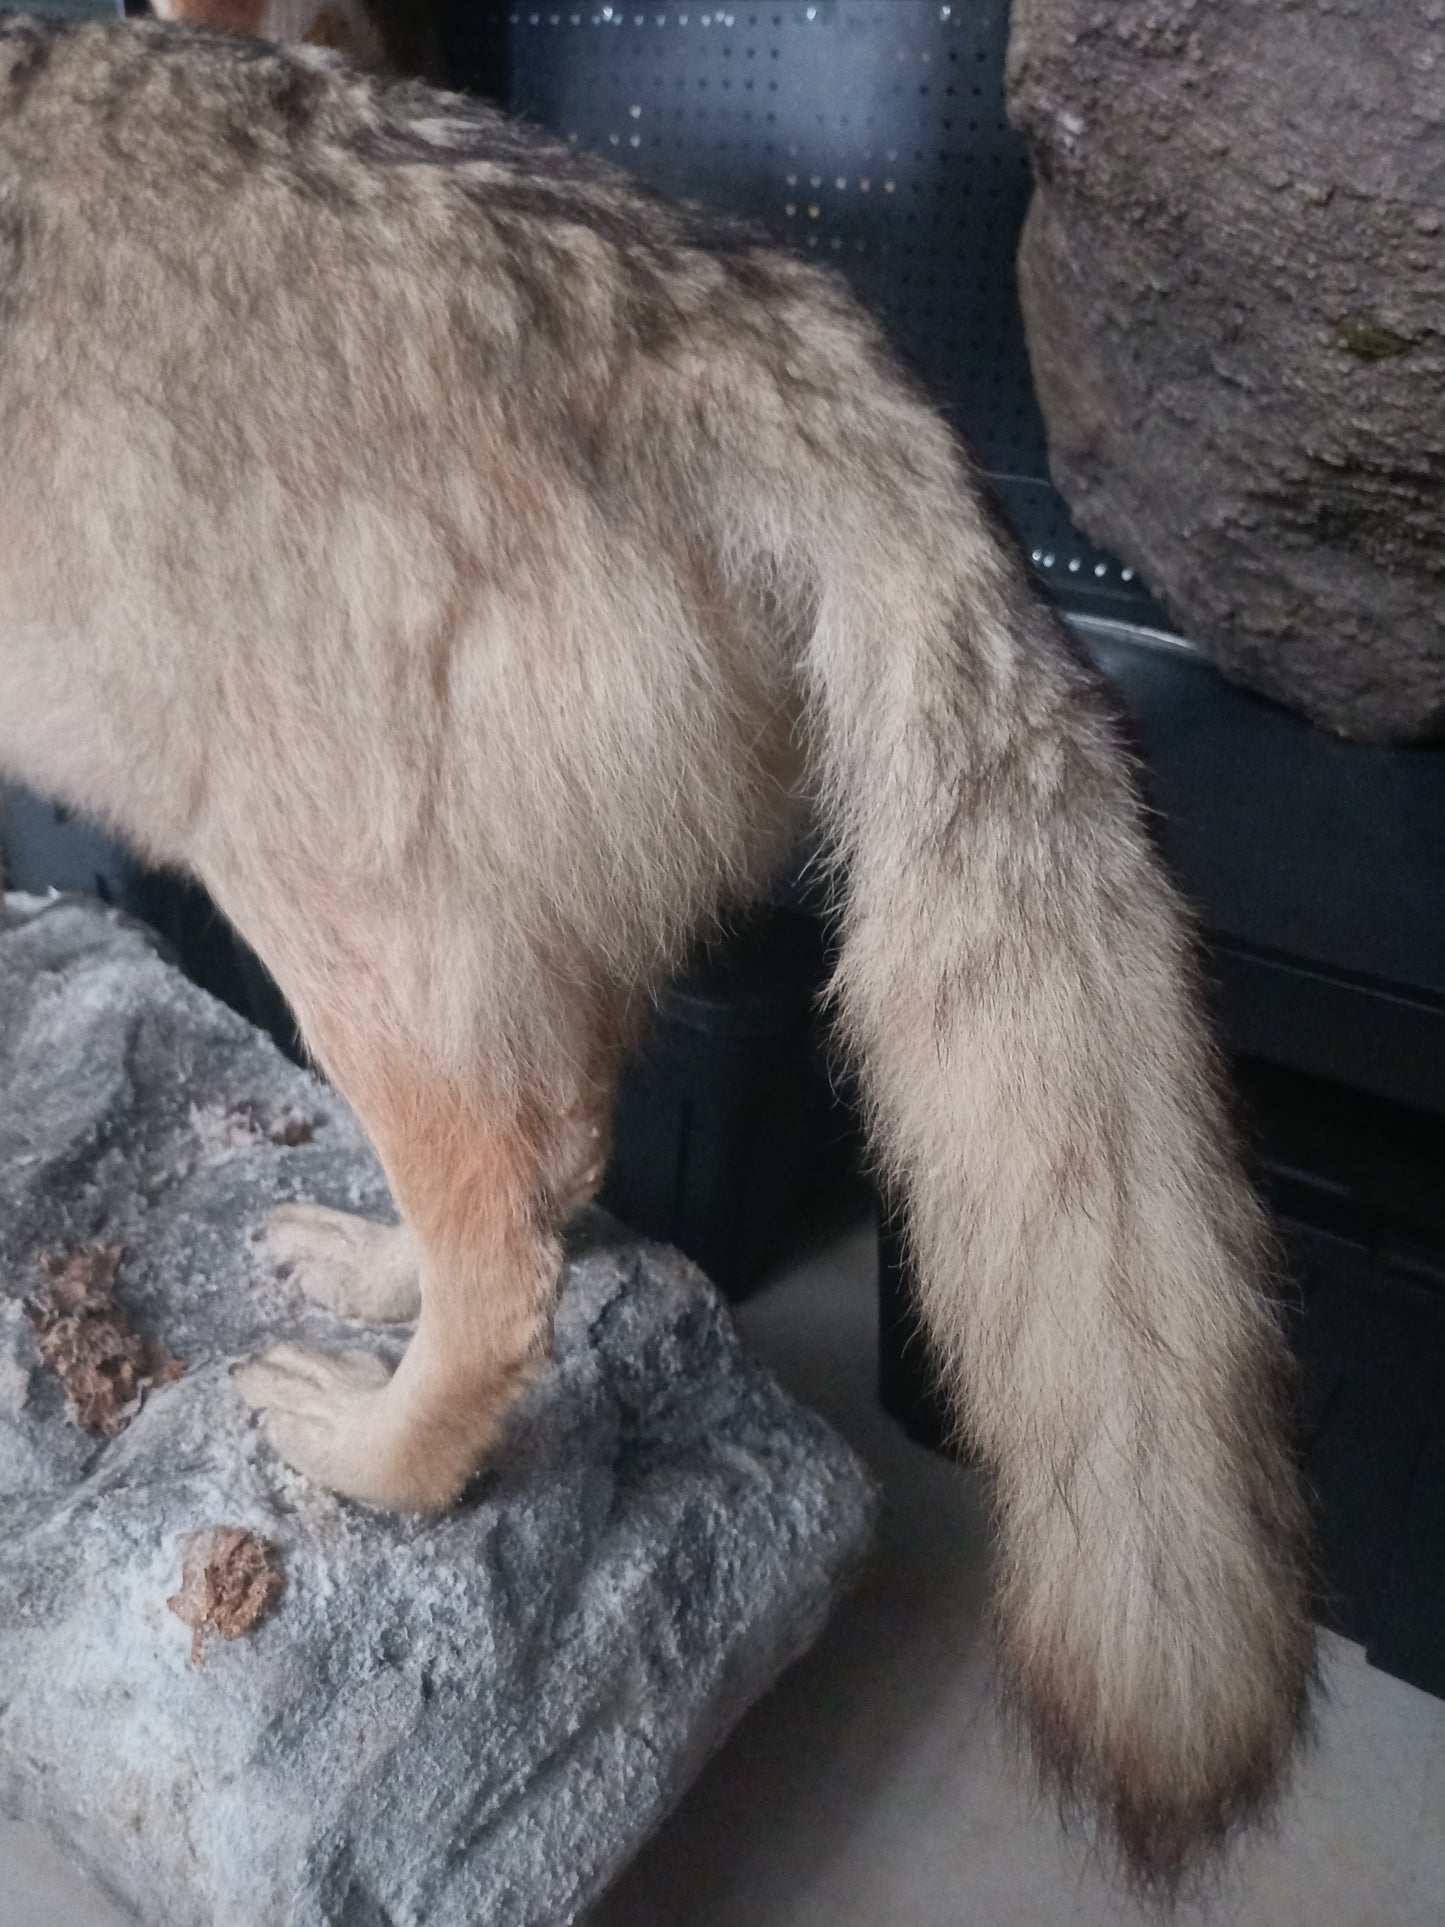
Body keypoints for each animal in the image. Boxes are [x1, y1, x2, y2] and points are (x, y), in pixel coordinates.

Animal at [0, 16, 1314, 1895]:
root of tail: (748, 304)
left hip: (328, 919)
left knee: (509, 1255)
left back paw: (376, 1453)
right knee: (552, 1160)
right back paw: (371, 1278)